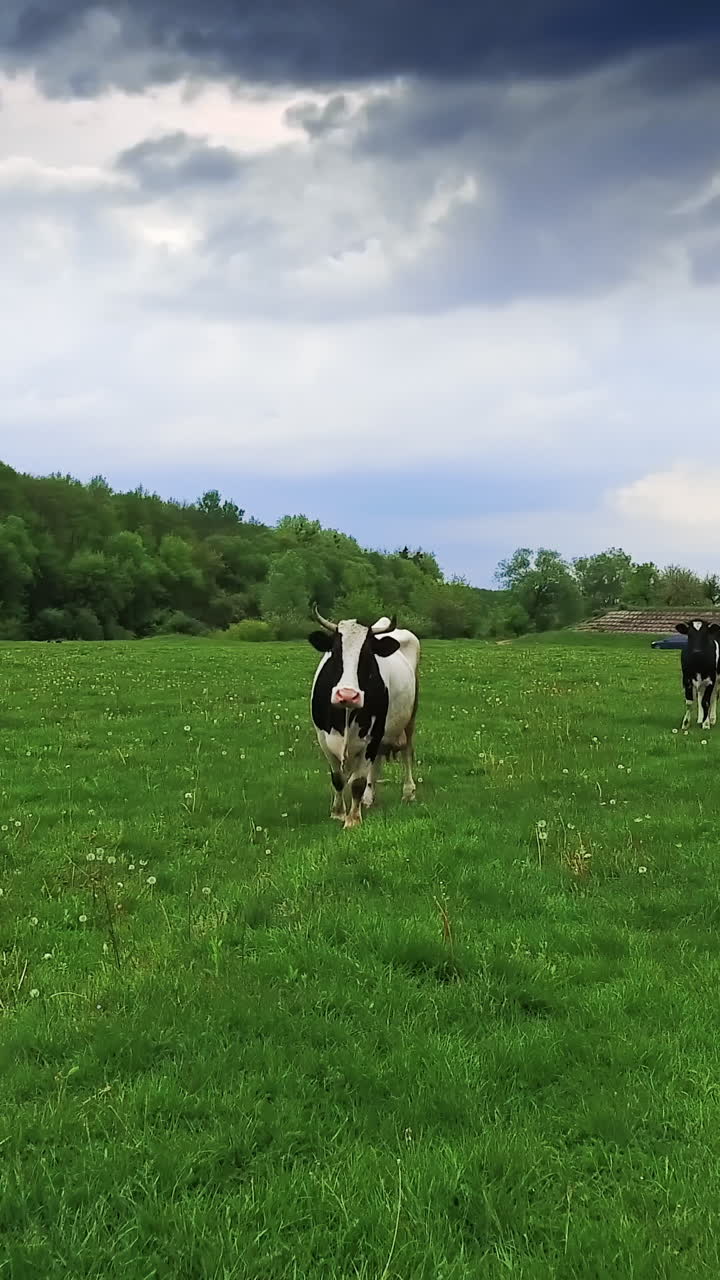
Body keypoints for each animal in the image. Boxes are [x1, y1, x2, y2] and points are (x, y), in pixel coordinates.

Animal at [308, 606, 420, 829]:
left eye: (368, 655)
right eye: (335, 652)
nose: (347, 694)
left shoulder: (371, 737)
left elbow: (357, 782)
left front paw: (353, 819)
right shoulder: (323, 738)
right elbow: (337, 778)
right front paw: (338, 812)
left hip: (408, 720)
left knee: (406, 753)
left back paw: (408, 791)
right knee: (376, 765)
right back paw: (369, 798)